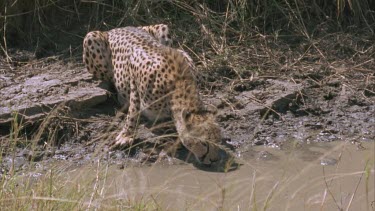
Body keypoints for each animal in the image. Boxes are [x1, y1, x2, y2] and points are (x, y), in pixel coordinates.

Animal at [82, 24, 226, 166]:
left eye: (218, 141)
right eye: (204, 143)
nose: (215, 160)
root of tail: (116, 28)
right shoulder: (134, 73)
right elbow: (133, 111)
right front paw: (126, 135)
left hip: (163, 28)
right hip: (91, 39)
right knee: (108, 77)